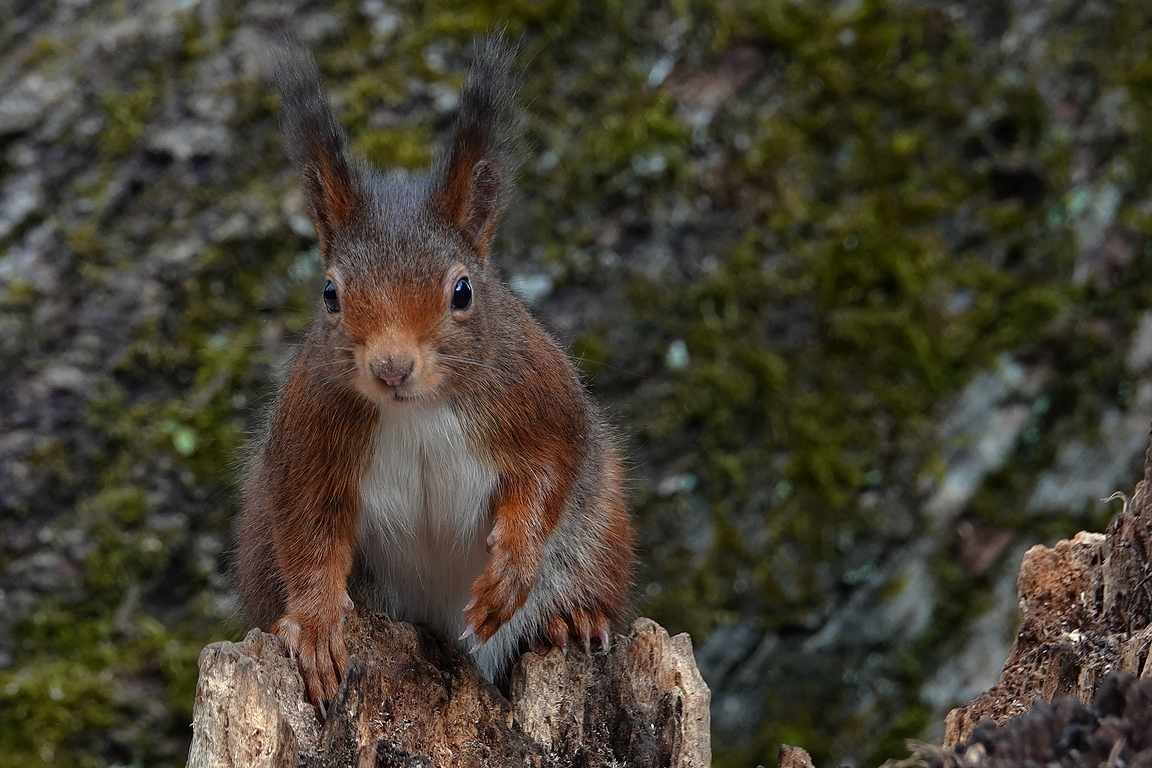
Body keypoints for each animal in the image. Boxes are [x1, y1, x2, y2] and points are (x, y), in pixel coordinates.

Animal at [232, 39, 631, 713]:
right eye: (330, 294)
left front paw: (510, 574)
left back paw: (571, 618)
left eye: (463, 291)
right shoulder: (309, 438)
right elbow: (308, 529)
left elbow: (549, 472)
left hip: (600, 526)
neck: (414, 409)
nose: (391, 367)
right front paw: (314, 626)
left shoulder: (538, 400)